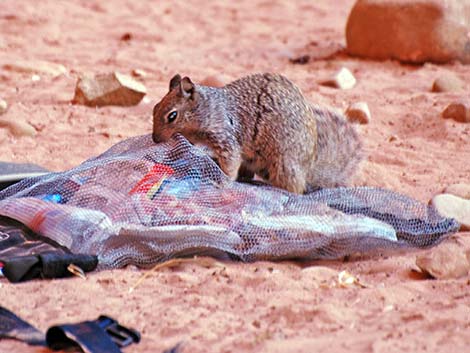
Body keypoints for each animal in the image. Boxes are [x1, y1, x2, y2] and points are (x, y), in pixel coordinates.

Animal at [152, 71, 362, 192]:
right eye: (154, 108)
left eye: (172, 116)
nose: (155, 139)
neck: (206, 109)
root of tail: (308, 168)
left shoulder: (225, 138)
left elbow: (230, 164)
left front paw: (221, 182)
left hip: (284, 164)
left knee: (295, 189)